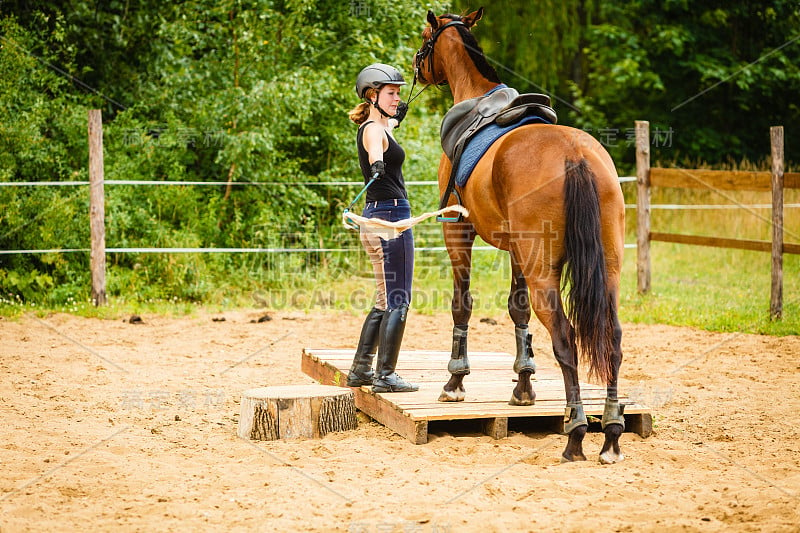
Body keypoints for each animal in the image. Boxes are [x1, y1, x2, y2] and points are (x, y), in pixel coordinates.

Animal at [416, 9, 628, 466]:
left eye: (424, 39)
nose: (415, 66)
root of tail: (575, 155)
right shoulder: (517, 251)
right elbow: (518, 312)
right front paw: (524, 386)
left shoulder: (456, 229)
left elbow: (462, 305)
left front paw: (455, 383)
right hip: (605, 270)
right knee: (613, 337)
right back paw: (611, 435)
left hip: (543, 272)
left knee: (566, 338)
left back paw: (576, 431)